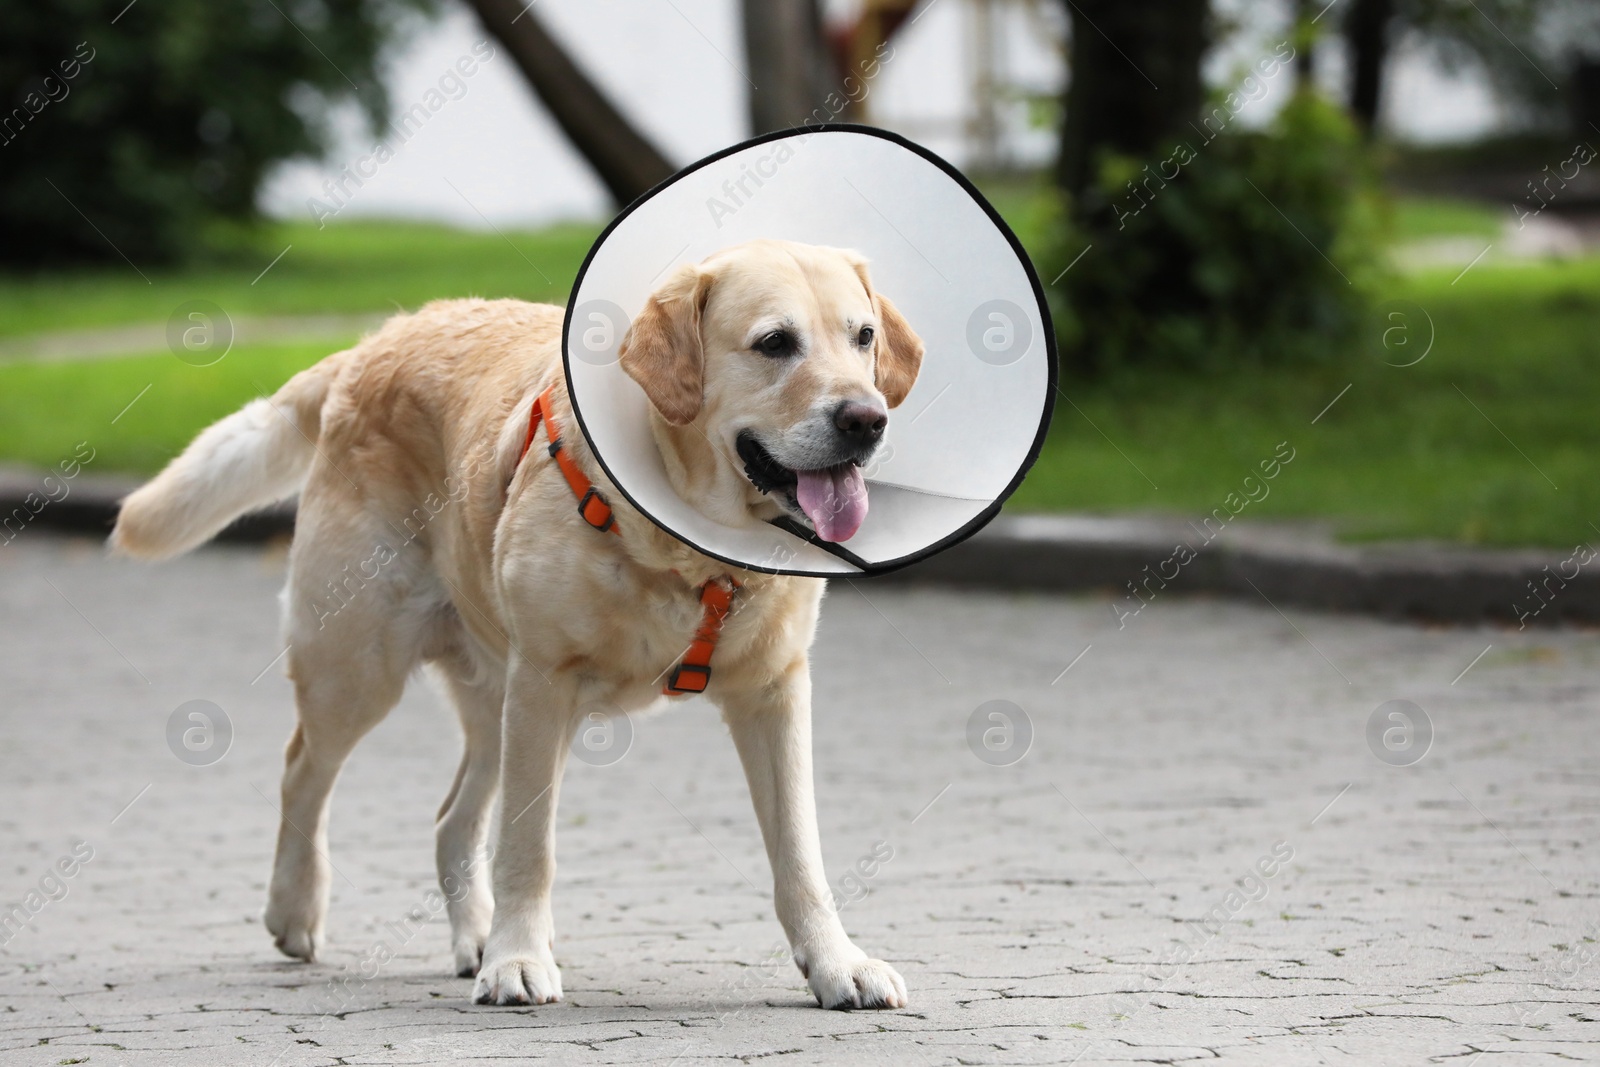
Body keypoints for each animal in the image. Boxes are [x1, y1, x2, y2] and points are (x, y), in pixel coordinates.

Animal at [112, 239, 928, 1011]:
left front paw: (837, 964)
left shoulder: (773, 691)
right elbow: (528, 847)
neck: (688, 553)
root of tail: (377, 340)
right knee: (303, 772)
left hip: (490, 695)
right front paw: (518, 962)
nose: (867, 419)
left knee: (450, 817)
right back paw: (297, 911)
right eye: (774, 342)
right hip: (360, 668)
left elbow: (800, 853)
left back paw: (473, 936)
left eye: (861, 337)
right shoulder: (545, 684)